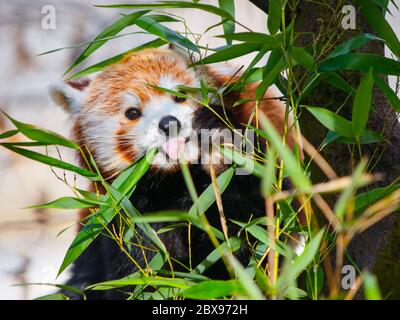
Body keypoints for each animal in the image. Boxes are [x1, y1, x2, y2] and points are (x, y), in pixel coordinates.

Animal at [50, 47, 304, 300]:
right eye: (132, 113)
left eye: (179, 95)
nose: (169, 123)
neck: (177, 180)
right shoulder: (127, 216)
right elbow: (142, 275)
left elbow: (257, 230)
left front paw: (218, 148)